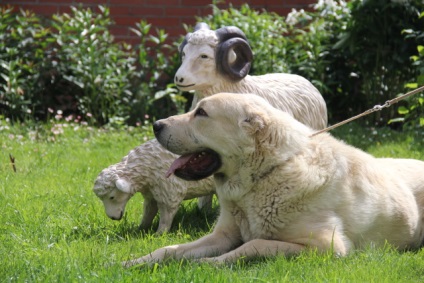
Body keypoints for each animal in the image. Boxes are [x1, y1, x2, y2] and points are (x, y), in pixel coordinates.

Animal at [121, 93, 424, 268]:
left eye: (202, 113)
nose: (156, 125)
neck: (264, 176)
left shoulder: (327, 247)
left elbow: (254, 244)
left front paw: (210, 263)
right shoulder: (222, 235)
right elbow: (168, 249)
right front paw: (134, 262)